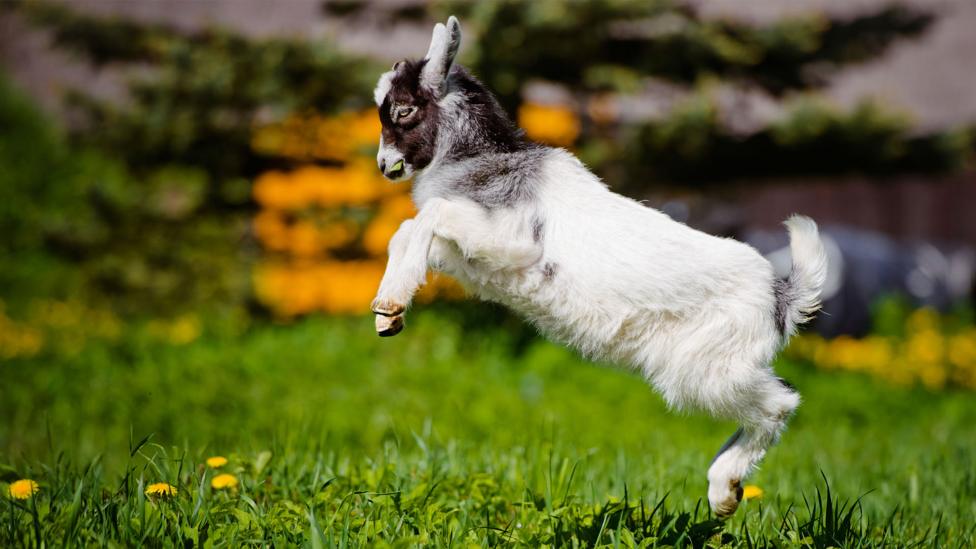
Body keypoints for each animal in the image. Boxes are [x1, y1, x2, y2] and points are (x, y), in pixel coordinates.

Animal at [370, 16, 828, 518]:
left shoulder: (511, 240)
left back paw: (723, 487)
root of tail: (780, 297)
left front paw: (389, 304)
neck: (484, 159)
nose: (384, 165)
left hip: (705, 369)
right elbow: (406, 233)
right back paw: (723, 491)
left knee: (780, 403)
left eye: (404, 110)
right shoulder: (464, 254)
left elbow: (428, 216)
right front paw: (388, 313)